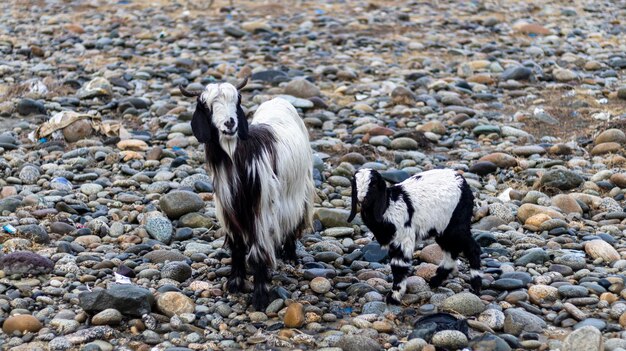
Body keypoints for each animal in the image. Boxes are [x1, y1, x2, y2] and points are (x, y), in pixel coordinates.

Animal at [178, 80, 312, 310]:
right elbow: (237, 247)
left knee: (295, 220)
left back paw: (290, 255)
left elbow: (258, 253)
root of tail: (280, 100)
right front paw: (235, 283)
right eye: (206, 106)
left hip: (299, 190)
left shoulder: (261, 209)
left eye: (237, 100)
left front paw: (259, 296)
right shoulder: (228, 209)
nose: (230, 123)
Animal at [344, 168, 480, 306]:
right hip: (443, 229)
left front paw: (394, 297)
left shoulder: (403, 238)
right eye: (355, 185)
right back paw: (435, 281)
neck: (389, 206)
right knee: (451, 252)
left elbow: (399, 266)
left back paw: (476, 284)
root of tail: (460, 178)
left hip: (457, 224)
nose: (362, 199)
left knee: (472, 248)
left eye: (373, 185)